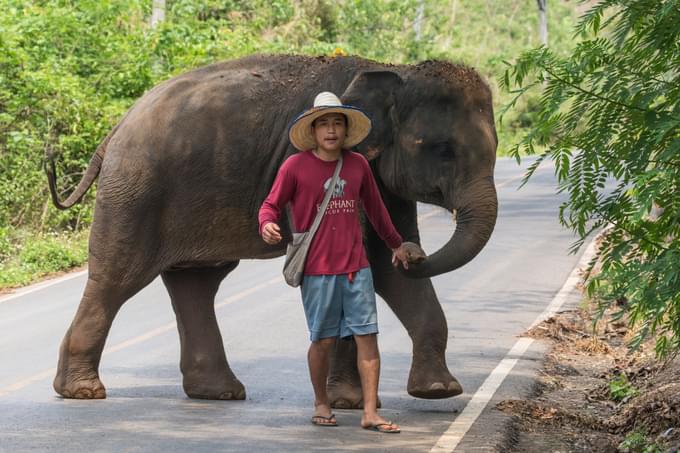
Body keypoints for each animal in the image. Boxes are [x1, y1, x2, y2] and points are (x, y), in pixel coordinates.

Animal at [46, 53, 494, 402]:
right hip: (135, 193)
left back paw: (219, 393)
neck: (394, 68)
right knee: (118, 277)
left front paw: (438, 391)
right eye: (443, 150)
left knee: (197, 283)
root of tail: (116, 129)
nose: (415, 253)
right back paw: (82, 391)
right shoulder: (305, 160)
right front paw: (347, 401)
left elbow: (384, 267)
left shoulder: (381, 178)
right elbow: (367, 265)